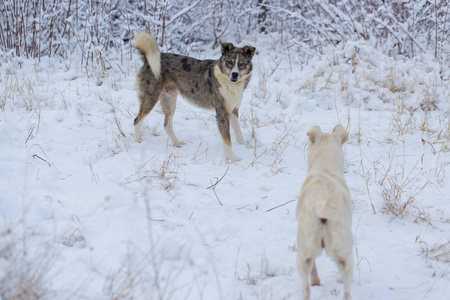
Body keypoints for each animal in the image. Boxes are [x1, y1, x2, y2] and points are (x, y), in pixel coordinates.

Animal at [298, 125, 354, 300]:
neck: (326, 169)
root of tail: (322, 206)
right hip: (343, 252)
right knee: (347, 288)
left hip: (305, 250)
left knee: (306, 288)